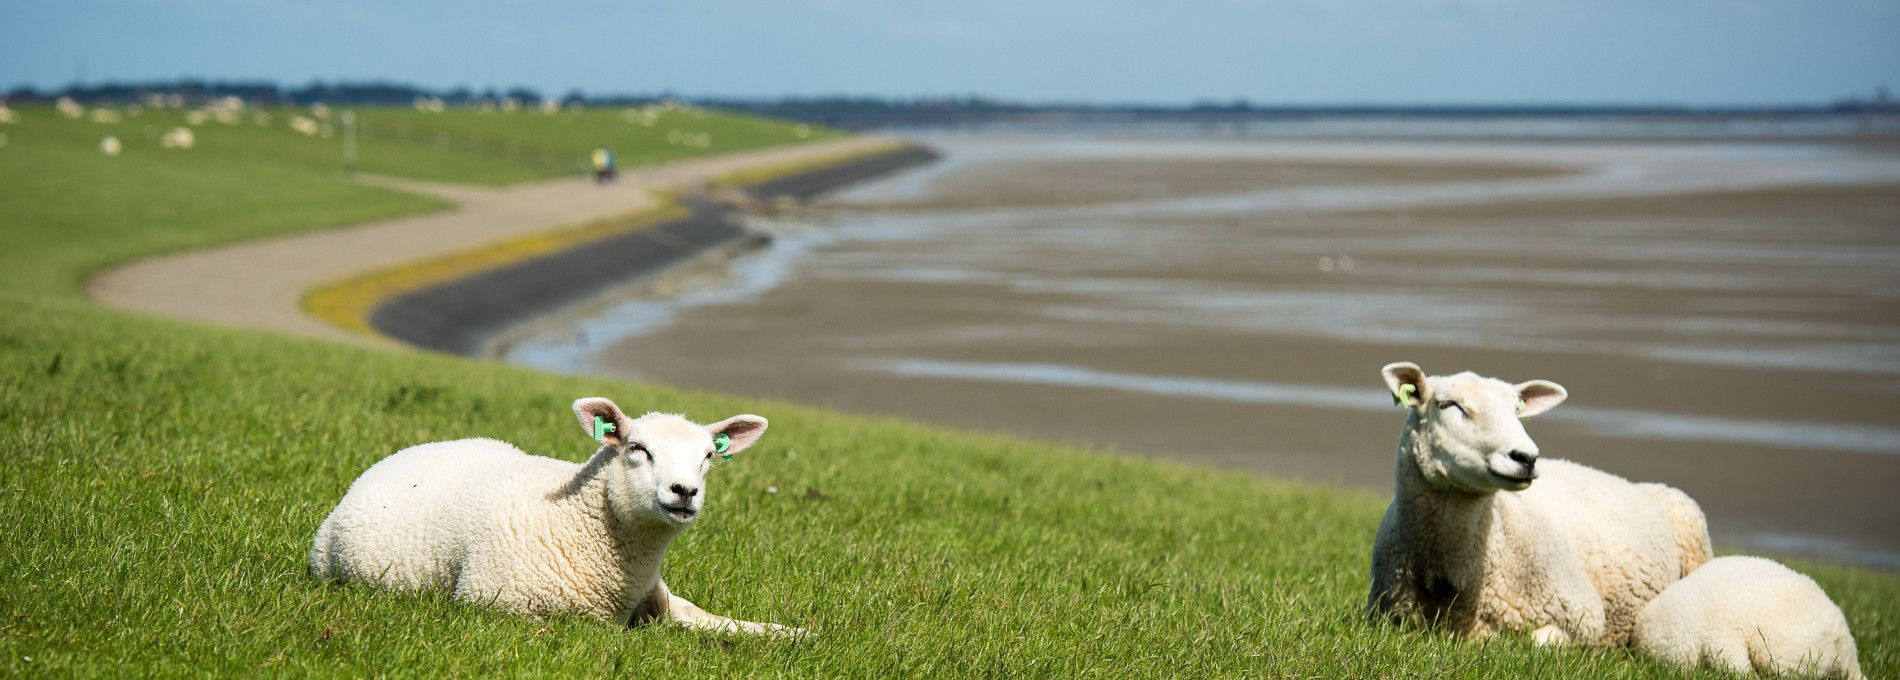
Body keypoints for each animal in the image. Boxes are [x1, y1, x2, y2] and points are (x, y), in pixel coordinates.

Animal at [307, 398, 798, 638]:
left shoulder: (658, 597)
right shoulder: (495, 605)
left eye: (708, 457)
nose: (685, 492)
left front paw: (790, 634)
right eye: (637, 448)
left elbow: (708, 617)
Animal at [1360, 358, 1717, 645]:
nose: (1526, 457)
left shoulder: (1584, 614)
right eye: (1449, 405)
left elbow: (1534, 642)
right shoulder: (1386, 617)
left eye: (1517, 409)